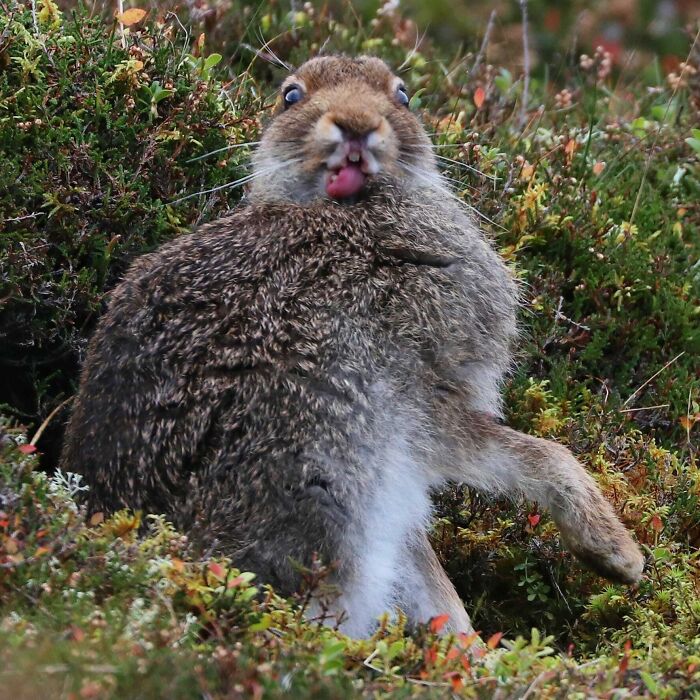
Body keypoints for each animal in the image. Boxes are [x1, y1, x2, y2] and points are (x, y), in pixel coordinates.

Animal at [61, 55, 644, 638]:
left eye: (403, 96)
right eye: (290, 96)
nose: (357, 125)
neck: (344, 213)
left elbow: (429, 575)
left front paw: (468, 646)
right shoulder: (423, 398)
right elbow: (541, 456)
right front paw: (619, 556)